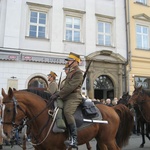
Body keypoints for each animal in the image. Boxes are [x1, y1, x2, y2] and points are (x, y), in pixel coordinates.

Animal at [0, 88, 132, 150]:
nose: (4, 133)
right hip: (101, 139)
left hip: (108, 139)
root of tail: (112, 108)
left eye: (9, 110)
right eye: (1, 108)